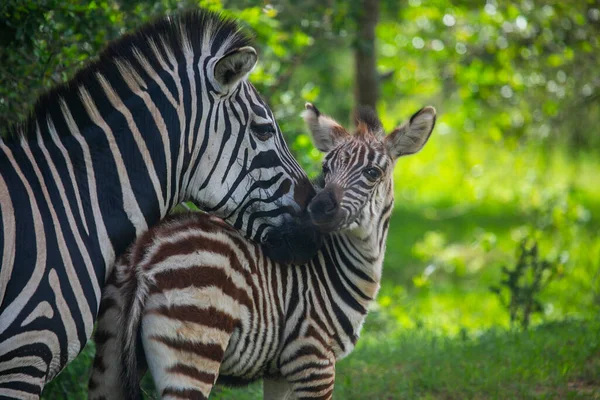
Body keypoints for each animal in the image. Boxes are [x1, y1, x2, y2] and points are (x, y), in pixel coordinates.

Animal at [89, 104, 436, 400]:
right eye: (327, 167)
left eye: (372, 173)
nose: (318, 207)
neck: (334, 267)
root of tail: (146, 255)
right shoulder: (313, 360)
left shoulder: (279, 373)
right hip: (194, 346)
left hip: (110, 350)